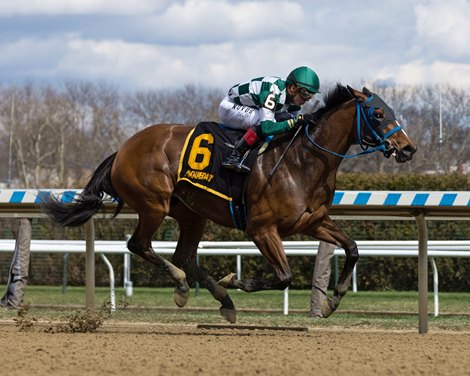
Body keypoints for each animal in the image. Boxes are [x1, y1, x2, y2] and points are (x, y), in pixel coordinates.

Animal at [43, 83, 414, 322]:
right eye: (377, 113)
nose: (408, 148)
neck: (302, 161)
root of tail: (122, 149)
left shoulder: (312, 222)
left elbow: (352, 248)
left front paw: (332, 302)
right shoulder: (261, 228)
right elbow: (284, 276)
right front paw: (235, 280)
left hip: (192, 214)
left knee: (184, 256)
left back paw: (222, 300)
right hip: (154, 204)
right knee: (140, 245)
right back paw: (184, 286)